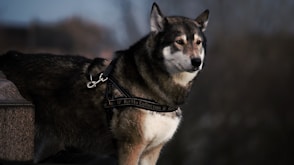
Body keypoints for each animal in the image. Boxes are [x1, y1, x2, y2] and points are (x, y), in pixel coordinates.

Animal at [0, 2, 209, 165]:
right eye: (179, 42)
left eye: (198, 42)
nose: (196, 62)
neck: (152, 86)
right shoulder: (130, 148)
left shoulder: (151, 152)